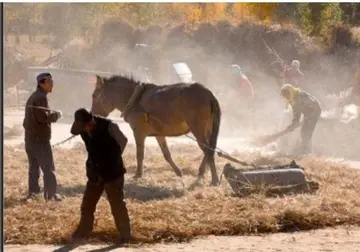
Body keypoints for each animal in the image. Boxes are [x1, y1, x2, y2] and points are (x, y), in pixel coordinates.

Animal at [91, 74, 221, 185]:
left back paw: (214, 180)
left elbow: (140, 154)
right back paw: (201, 173)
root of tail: (209, 94)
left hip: (197, 129)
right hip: (207, 130)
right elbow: (166, 154)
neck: (134, 99)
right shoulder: (159, 134)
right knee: (210, 149)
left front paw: (138, 175)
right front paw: (178, 172)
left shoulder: (138, 132)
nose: (92, 115)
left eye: (94, 96)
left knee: (208, 151)